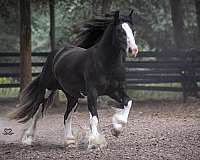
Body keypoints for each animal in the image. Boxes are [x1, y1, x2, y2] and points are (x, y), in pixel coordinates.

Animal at [10, 10, 138, 149]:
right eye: (120, 30)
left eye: (133, 30)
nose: (133, 50)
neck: (106, 63)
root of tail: (57, 53)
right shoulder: (92, 93)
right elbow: (94, 118)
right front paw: (95, 142)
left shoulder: (115, 91)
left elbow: (128, 102)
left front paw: (116, 129)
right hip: (47, 89)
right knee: (37, 111)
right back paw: (27, 139)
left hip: (72, 96)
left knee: (67, 116)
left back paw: (70, 141)